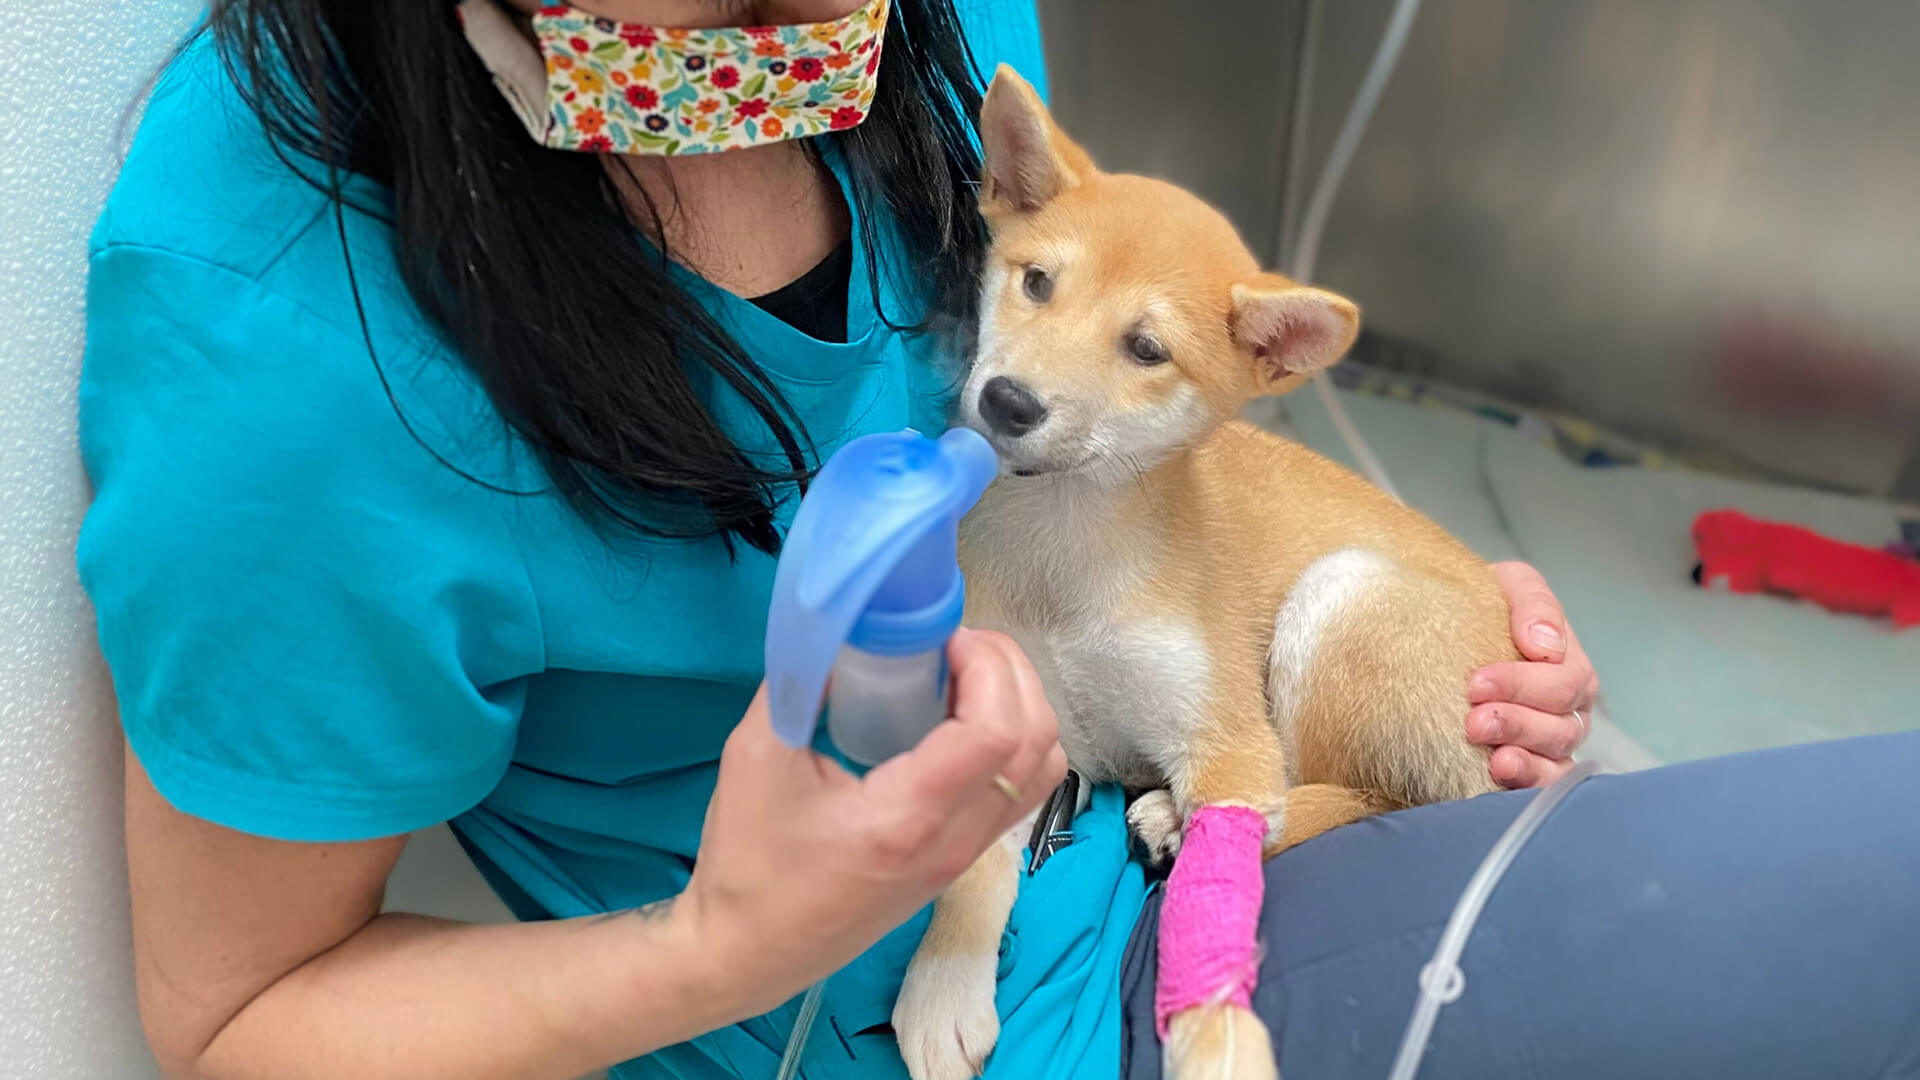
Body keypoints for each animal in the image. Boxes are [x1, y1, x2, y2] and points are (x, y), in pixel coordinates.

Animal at [887, 69, 1512, 1076]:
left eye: (1147, 349)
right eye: (1036, 283)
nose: (1008, 402)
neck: (1067, 550)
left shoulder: (1226, 734)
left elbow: (1225, 872)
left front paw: (1214, 1036)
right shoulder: (1006, 709)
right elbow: (973, 865)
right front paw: (945, 981)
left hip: (1342, 597)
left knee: (1359, 798)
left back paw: (1187, 822)